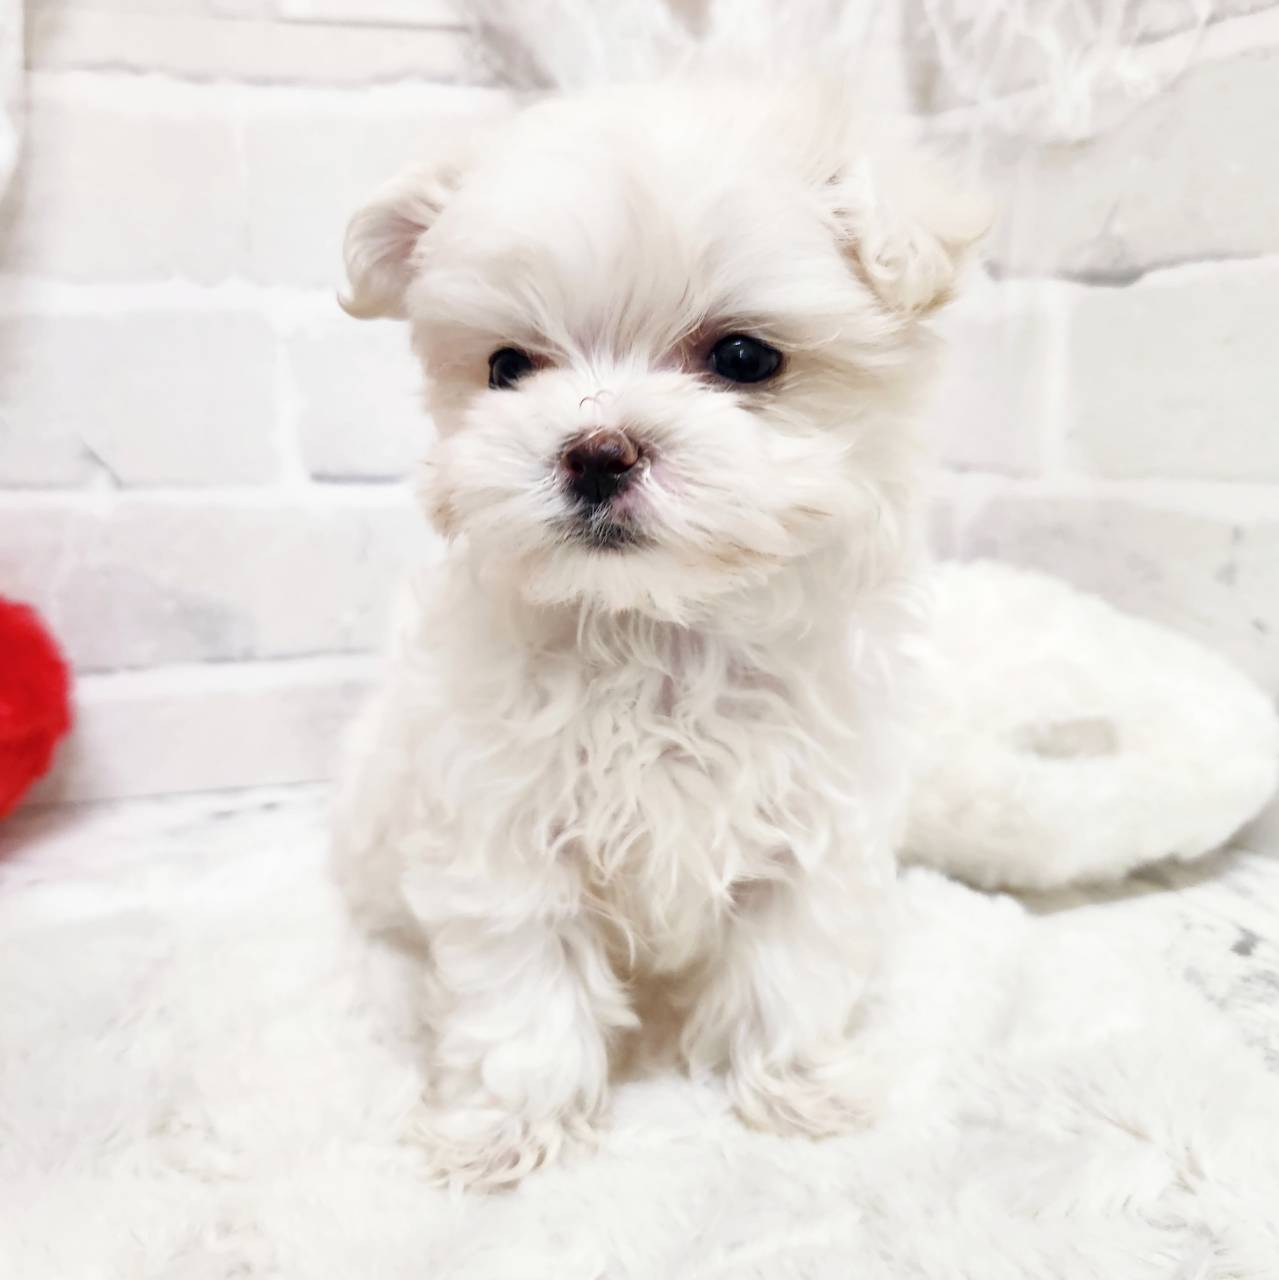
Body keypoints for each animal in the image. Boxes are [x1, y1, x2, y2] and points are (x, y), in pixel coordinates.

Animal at [333, 76, 987, 1189]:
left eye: (743, 357)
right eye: (507, 366)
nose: (595, 450)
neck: (659, 633)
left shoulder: (814, 824)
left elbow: (787, 967)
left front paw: (794, 1088)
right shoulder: (501, 832)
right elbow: (522, 992)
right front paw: (507, 1128)